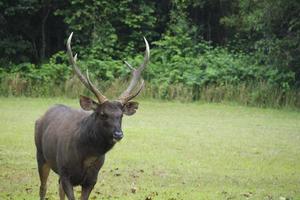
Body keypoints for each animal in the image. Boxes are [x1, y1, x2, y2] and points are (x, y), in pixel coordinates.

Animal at [34, 32, 150, 199]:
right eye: (102, 114)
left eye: (121, 115)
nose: (118, 134)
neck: (86, 157)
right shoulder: (65, 172)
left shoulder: (92, 179)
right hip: (41, 154)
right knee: (43, 188)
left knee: (58, 187)